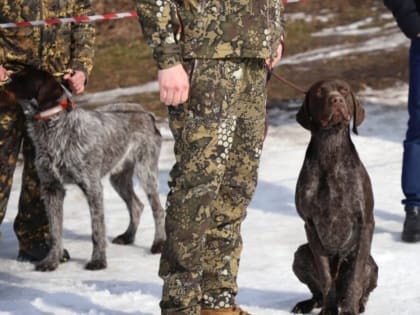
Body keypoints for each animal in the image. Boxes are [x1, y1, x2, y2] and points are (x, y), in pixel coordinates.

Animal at [8, 68, 166, 272]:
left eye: (24, 76)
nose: (7, 78)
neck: (56, 129)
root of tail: (146, 111)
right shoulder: (52, 189)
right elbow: (55, 231)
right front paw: (52, 260)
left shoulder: (92, 187)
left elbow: (97, 229)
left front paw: (98, 261)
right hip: (119, 178)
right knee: (136, 206)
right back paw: (128, 236)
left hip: (146, 171)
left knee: (158, 209)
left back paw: (159, 243)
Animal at [292, 79, 378, 315]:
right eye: (319, 92)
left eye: (344, 91)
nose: (336, 100)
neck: (330, 150)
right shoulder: (310, 225)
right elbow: (325, 277)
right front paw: (329, 311)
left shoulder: (365, 223)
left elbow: (355, 278)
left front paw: (349, 310)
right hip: (300, 254)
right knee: (319, 293)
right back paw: (308, 304)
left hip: (371, 265)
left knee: (360, 287)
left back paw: (358, 304)